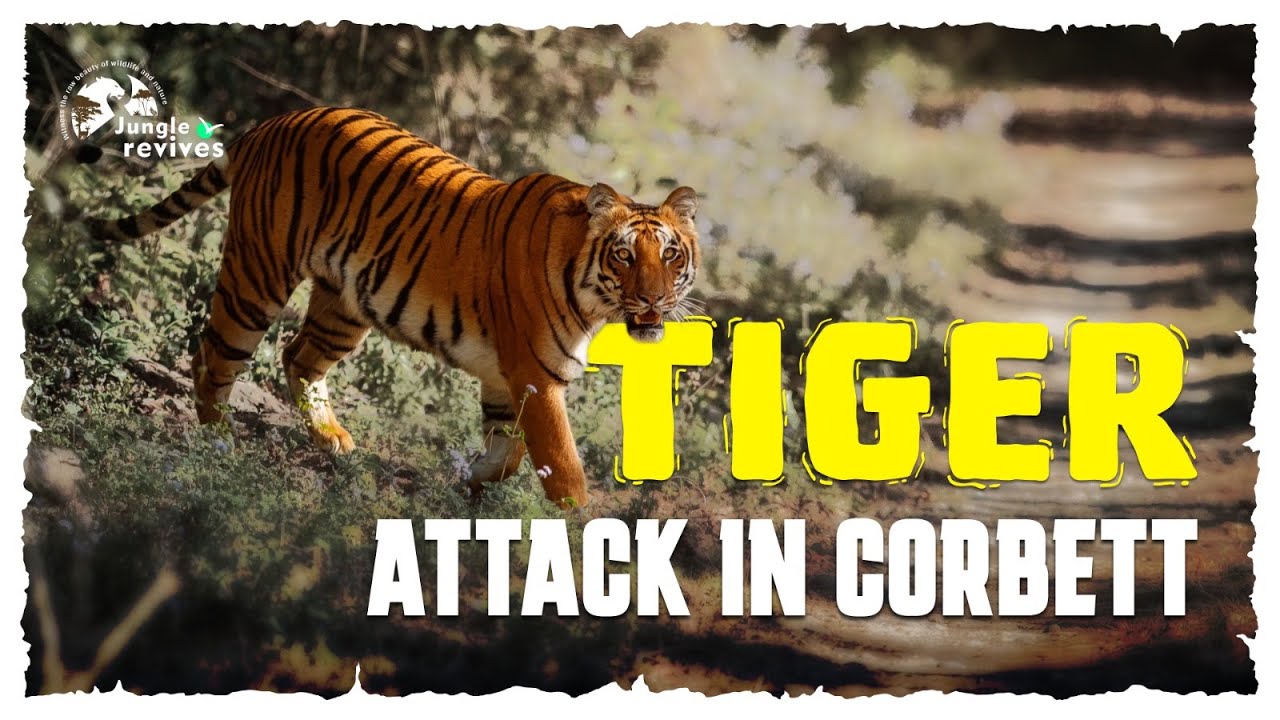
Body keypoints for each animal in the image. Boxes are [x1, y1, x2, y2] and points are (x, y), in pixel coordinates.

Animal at [87, 106, 701, 508]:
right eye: (624, 254)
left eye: (671, 255)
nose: (655, 298)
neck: (593, 300)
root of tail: (275, 122)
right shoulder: (535, 374)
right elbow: (563, 466)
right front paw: (577, 534)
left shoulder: (505, 379)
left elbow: (507, 453)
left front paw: (467, 486)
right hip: (257, 276)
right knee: (213, 359)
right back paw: (220, 445)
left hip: (345, 306)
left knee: (298, 356)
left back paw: (331, 440)